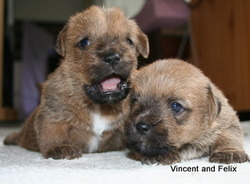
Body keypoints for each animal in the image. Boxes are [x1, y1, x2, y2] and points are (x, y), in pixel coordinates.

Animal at [4, 6, 148, 160]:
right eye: (84, 42)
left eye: (129, 41)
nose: (112, 57)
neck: (99, 106)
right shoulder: (54, 112)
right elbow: (54, 129)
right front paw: (59, 148)